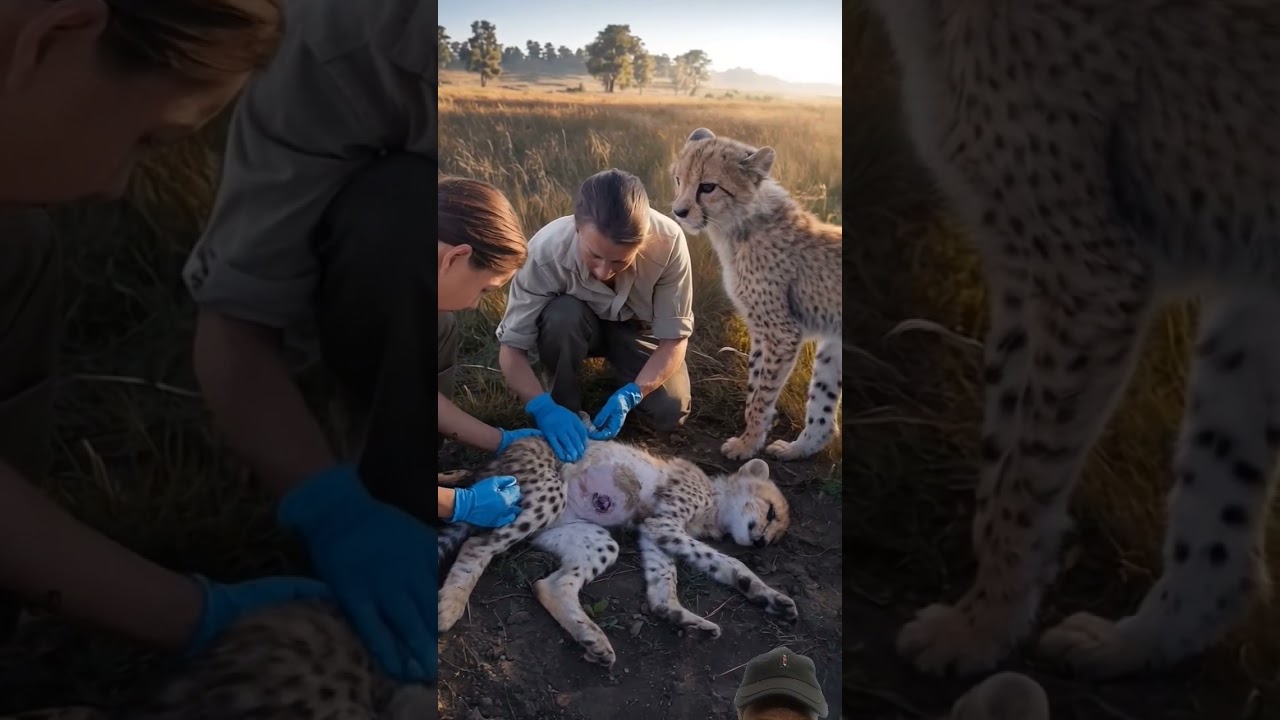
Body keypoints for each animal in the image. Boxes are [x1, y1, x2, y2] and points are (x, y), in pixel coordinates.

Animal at [437, 434, 799, 668]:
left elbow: (665, 586)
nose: (761, 542)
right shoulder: (663, 526)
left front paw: (686, 616)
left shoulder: (653, 537)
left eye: (774, 535)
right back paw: (450, 605)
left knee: (550, 585)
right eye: (770, 513)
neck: (715, 501)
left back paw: (592, 639)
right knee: (475, 544)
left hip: (595, 539)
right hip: (542, 497)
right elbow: (729, 560)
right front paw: (758, 587)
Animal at [669, 128, 843, 462]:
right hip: (833, 348)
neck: (740, 226)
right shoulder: (761, 330)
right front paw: (750, 437)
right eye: (678, 180)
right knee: (823, 416)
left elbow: (763, 395)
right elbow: (754, 387)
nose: (678, 212)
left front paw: (748, 444)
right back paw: (797, 449)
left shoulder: (782, 332)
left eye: (708, 187)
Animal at [868, 0, 1280, 680]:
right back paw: (1138, 641)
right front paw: (992, 609)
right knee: (1222, 531)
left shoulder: (1094, 277)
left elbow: (1022, 485)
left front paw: (981, 628)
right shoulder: (1021, 267)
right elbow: (1000, 454)